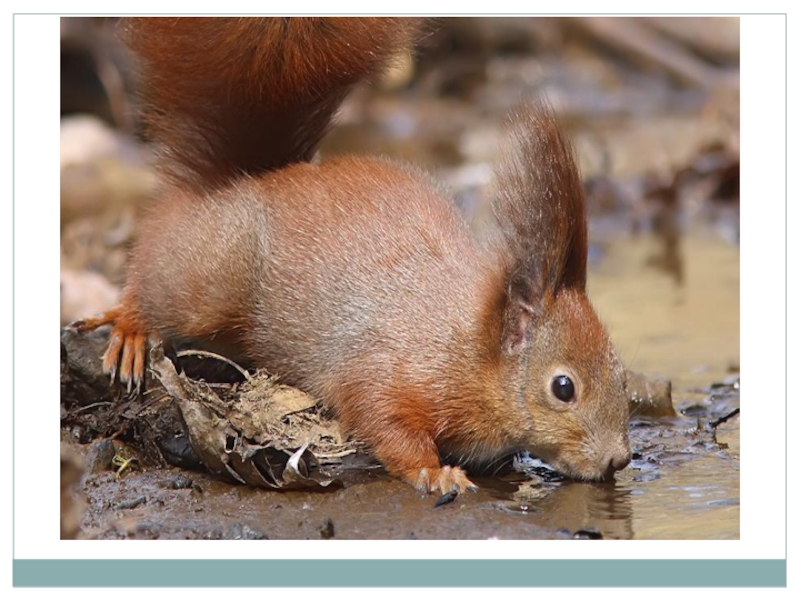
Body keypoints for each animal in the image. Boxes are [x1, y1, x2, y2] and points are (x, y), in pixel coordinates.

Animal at [73, 17, 632, 494]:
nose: (619, 460)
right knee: (155, 273)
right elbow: (381, 419)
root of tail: (245, 180)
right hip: (208, 286)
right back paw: (129, 327)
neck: (472, 350)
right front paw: (435, 473)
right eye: (563, 387)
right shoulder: (388, 371)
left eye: (620, 368)